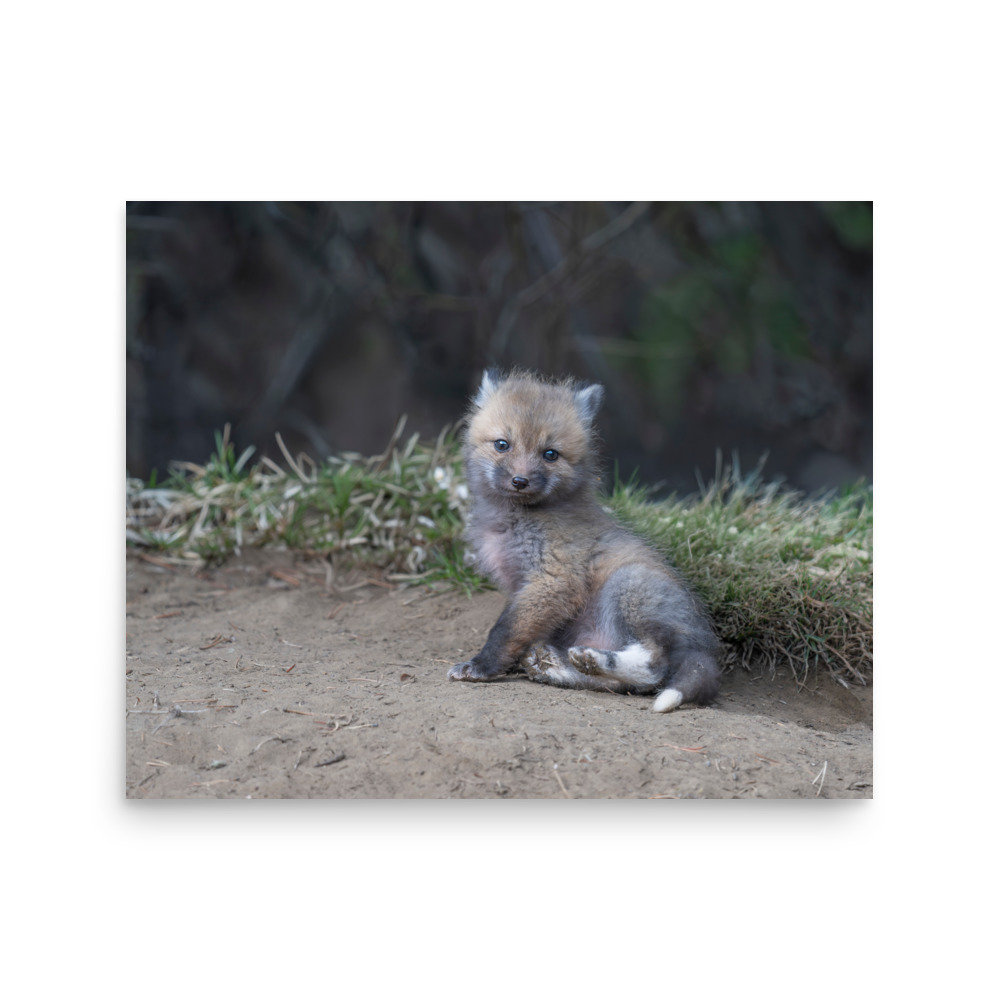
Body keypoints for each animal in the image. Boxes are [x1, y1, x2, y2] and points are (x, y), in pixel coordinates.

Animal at [448, 369, 721, 712]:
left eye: (550, 454)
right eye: (502, 445)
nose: (520, 481)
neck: (516, 520)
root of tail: (705, 645)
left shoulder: (553, 578)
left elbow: (505, 630)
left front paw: (481, 666)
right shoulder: (524, 586)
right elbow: (518, 630)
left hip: (628, 586)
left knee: (653, 668)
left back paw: (592, 659)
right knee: (623, 685)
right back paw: (558, 666)